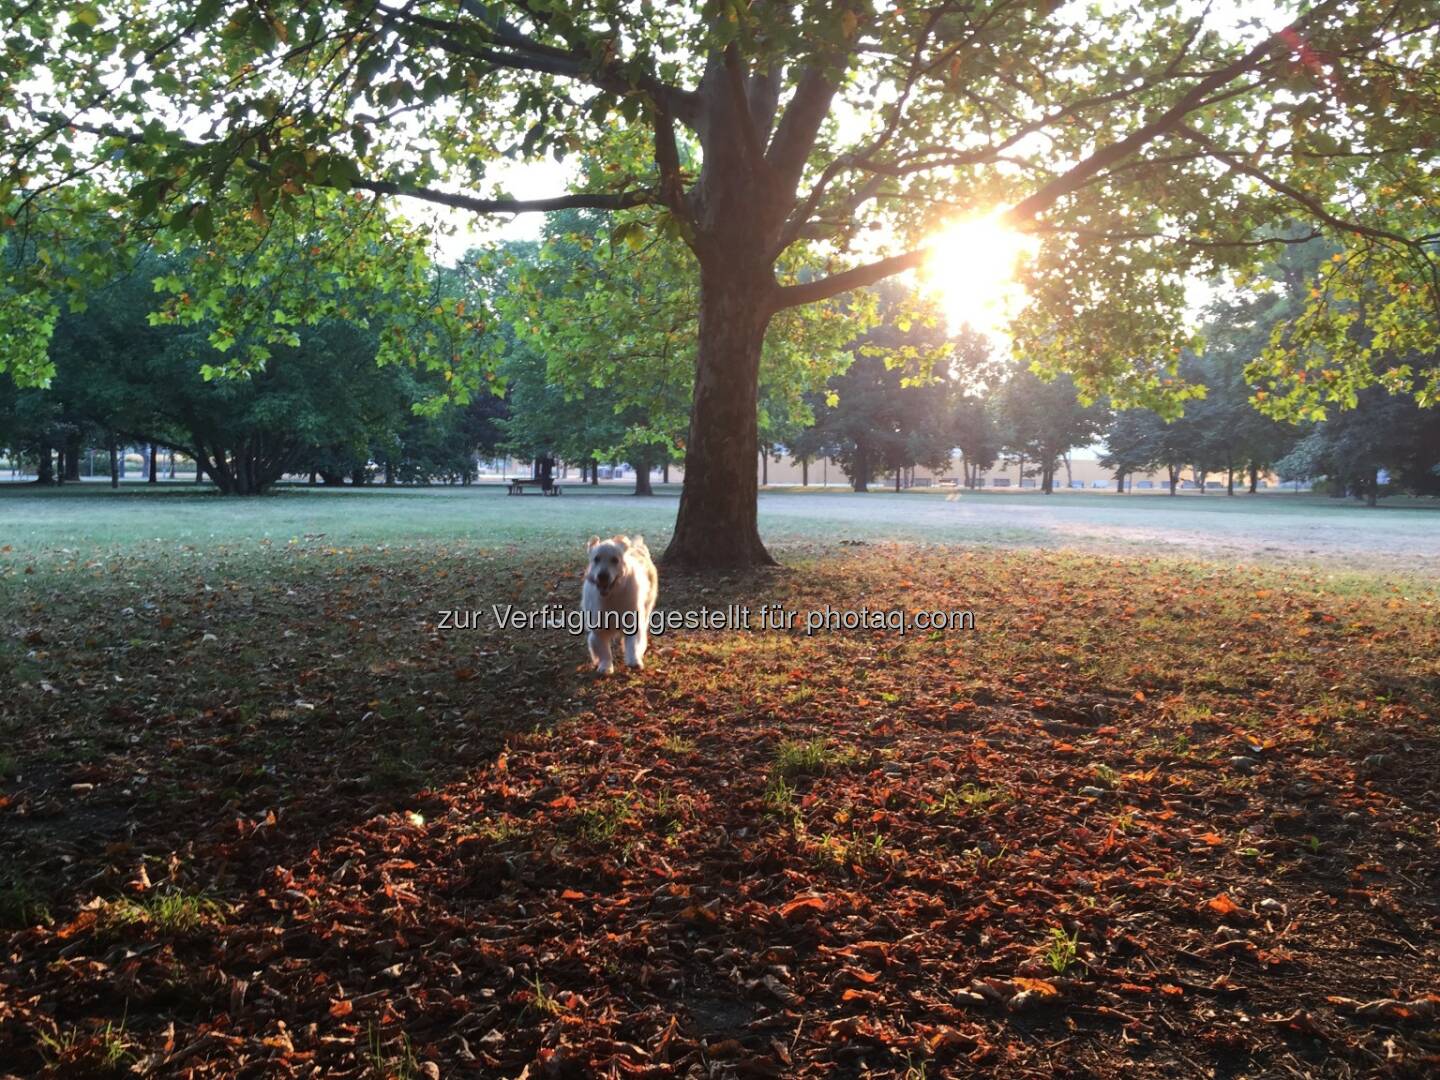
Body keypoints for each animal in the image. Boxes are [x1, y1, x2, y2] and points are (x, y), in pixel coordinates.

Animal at [578, 535, 659, 676]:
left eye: (615, 560)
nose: (602, 576)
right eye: (596, 559)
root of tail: (637, 547)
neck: (612, 596)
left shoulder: (633, 622)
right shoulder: (598, 630)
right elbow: (604, 651)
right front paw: (605, 666)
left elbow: (633, 644)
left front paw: (634, 660)